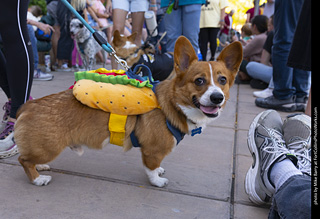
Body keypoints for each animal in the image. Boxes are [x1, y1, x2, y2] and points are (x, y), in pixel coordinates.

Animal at [14, 36, 240, 187]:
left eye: (223, 80)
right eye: (199, 81)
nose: (217, 97)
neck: (173, 104)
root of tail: (28, 106)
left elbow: (155, 166)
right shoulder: (152, 151)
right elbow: (151, 168)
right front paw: (158, 180)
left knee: (30, 159)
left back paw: (40, 167)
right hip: (49, 148)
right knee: (23, 160)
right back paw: (38, 179)